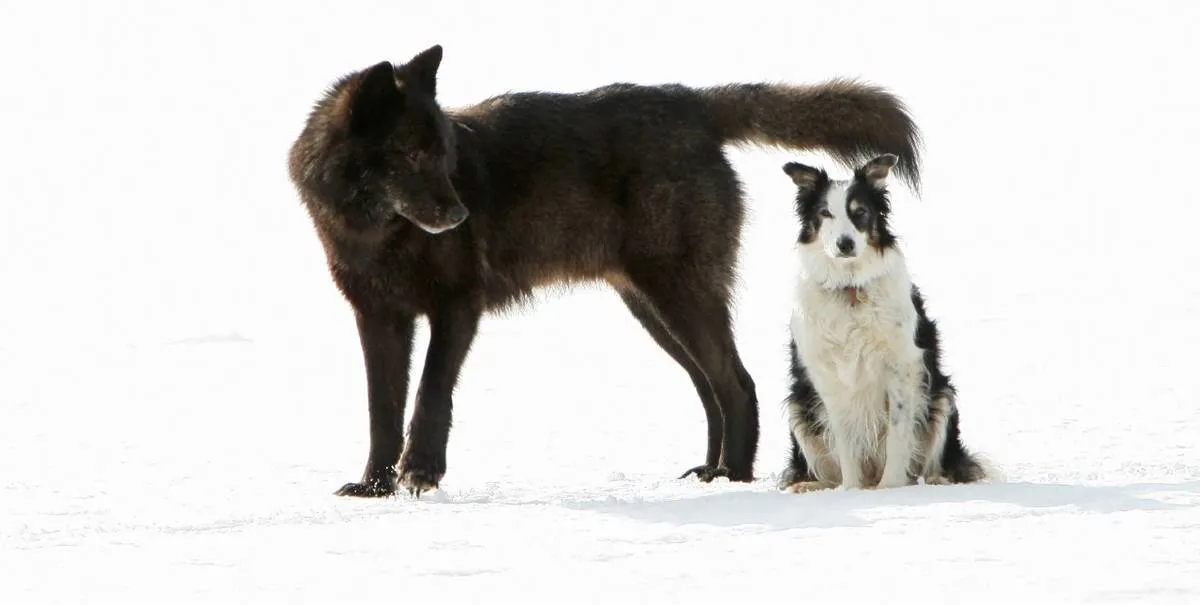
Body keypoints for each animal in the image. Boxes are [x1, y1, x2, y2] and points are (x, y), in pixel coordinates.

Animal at [285, 43, 921, 496]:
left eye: (444, 154)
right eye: (415, 155)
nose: (463, 214)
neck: (377, 233)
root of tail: (691, 101)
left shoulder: (457, 309)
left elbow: (429, 396)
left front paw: (419, 475)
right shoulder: (378, 318)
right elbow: (382, 409)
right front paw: (373, 486)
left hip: (676, 296)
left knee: (737, 384)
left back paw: (733, 479)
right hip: (651, 308)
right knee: (712, 387)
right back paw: (710, 472)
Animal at [772, 153, 988, 494]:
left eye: (860, 213)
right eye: (825, 214)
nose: (845, 244)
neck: (850, 288)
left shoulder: (903, 366)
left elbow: (897, 434)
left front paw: (890, 488)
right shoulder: (827, 374)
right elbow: (844, 439)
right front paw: (851, 491)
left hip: (942, 397)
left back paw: (937, 479)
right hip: (799, 406)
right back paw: (811, 485)